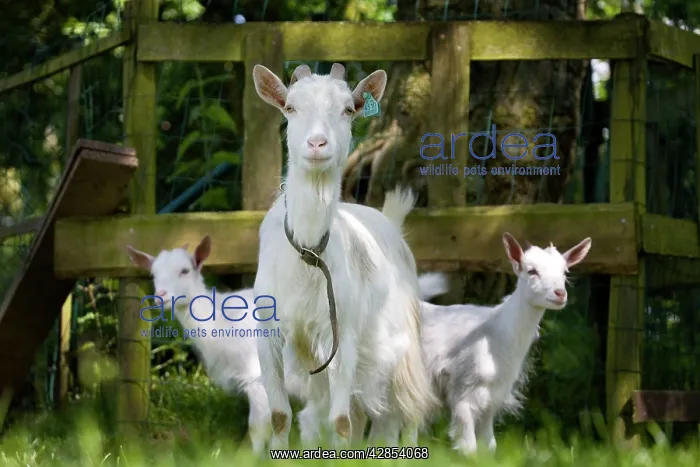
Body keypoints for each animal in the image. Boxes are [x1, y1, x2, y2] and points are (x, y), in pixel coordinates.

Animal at [251, 62, 438, 449]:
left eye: (348, 110)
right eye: (290, 107)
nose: (317, 144)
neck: (308, 252)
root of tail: (390, 221)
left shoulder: (344, 335)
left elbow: (340, 422)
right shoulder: (270, 334)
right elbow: (281, 416)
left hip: (400, 342)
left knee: (408, 407)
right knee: (370, 415)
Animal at [418, 233, 591, 455]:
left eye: (565, 271)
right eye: (531, 271)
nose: (560, 294)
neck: (495, 334)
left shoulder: (492, 397)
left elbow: (489, 446)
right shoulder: (462, 391)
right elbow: (469, 447)